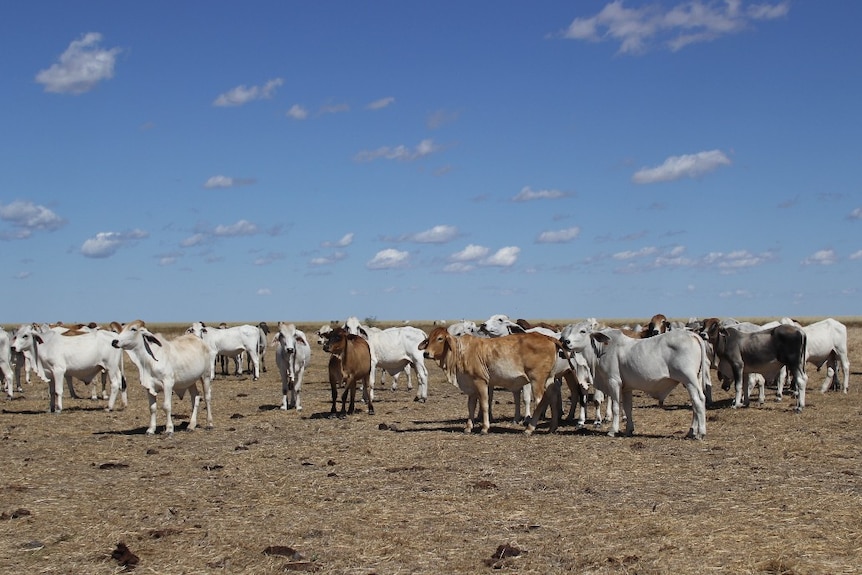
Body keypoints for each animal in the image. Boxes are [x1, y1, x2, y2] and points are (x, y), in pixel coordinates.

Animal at [420, 326, 568, 434]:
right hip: (549, 378)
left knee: (540, 400)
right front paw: (468, 427)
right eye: (429, 339)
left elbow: (484, 404)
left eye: (440, 338)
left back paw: (529, 429)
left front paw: (485, 428)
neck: (461, 352)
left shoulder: (480, 382)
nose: (426, 353)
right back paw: (552, 427)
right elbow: (471, 406)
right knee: (553, 397)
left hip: (537, 380)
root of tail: (547, 337)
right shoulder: (471, 386)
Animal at [564, 326, 712, 438]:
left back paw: (701, 433)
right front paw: (629, 429)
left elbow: (616, 407)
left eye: (582, 331)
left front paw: (613, 430)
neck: (602, 350)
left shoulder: (614, 382)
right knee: (695, 403)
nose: (566, 341)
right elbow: (627, 408)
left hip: (689, 380)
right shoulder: (626, 388)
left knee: (698, 400)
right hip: (694, 380)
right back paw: (691, 431)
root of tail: (691, 334)